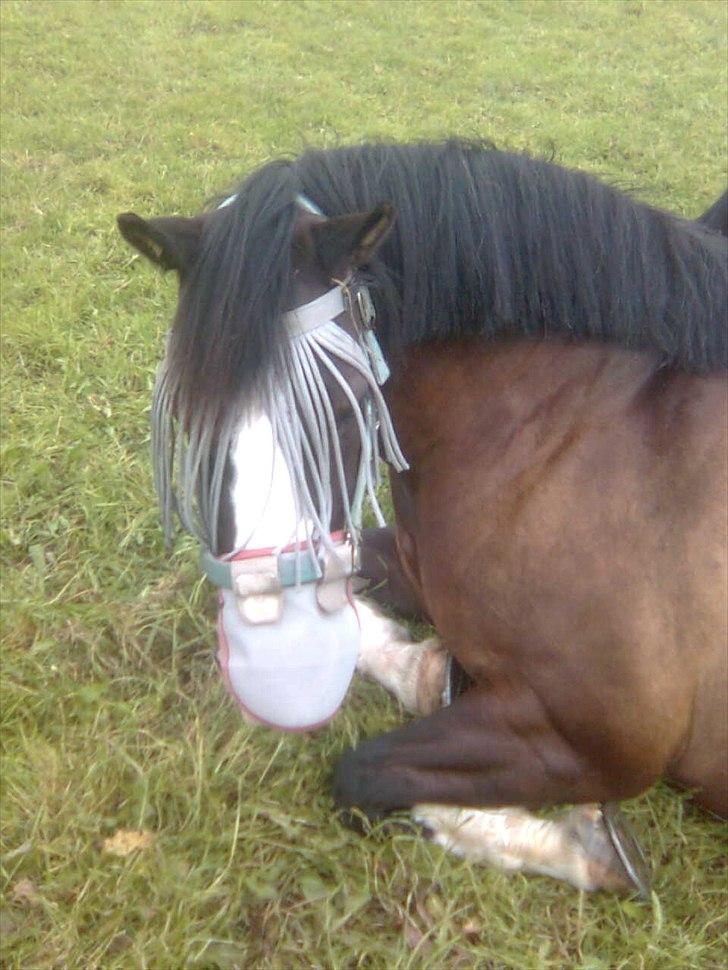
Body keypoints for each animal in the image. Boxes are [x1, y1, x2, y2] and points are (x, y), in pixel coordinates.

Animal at [117, 140, 727, 893]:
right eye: (187, 414)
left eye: (344, 405)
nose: (281, 660)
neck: (563, 431)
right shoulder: (408, 561)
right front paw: (423, 670)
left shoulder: (603, 742)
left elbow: (362, 775)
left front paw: (577, 847)